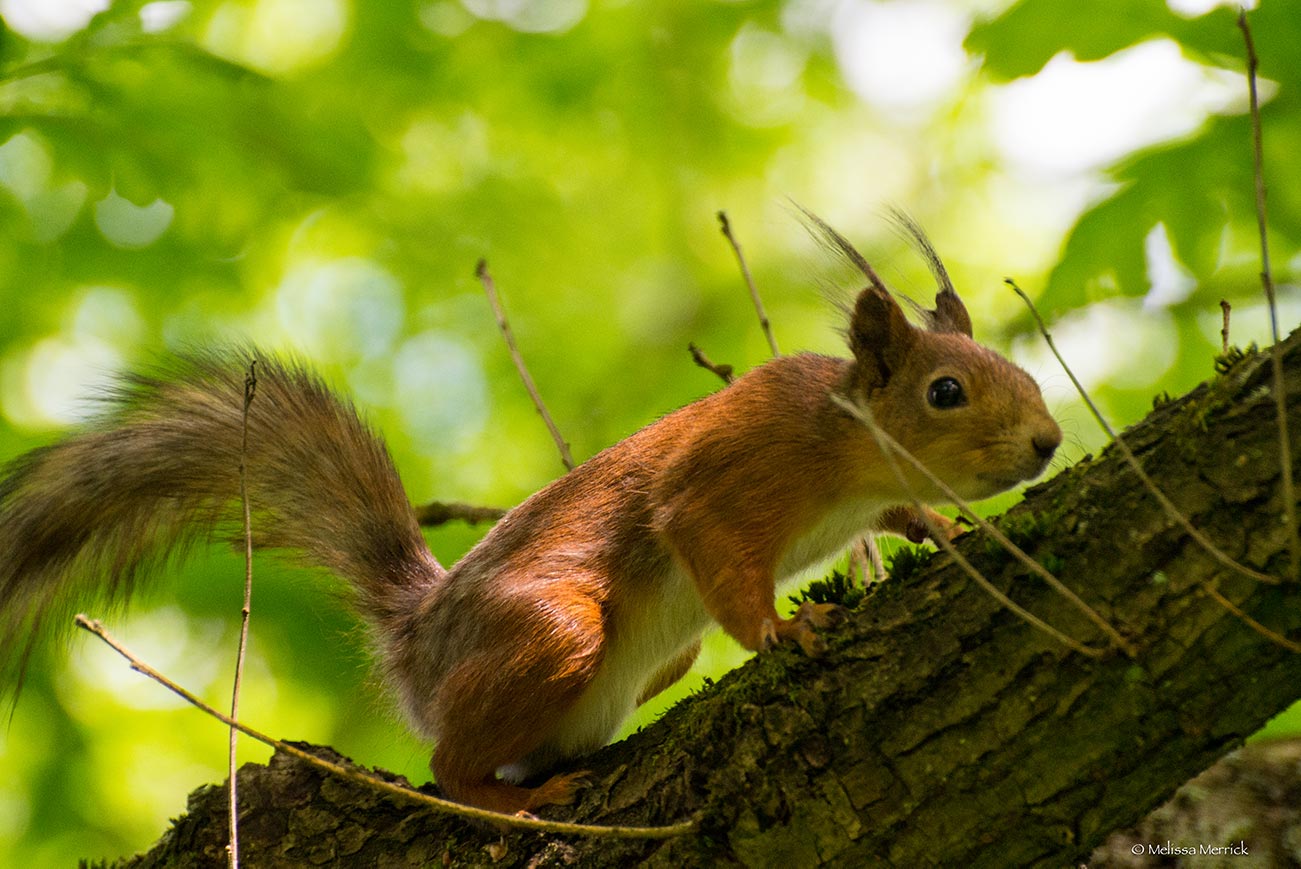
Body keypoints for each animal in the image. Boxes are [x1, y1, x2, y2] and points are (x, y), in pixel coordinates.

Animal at [0, 216, 1061, 815]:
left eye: (1024, 373)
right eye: (945, 392)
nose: (1048, 442)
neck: (839, 445)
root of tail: (417, 645)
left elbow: (909, 514)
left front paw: (953, 532)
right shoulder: (724, 478)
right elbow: (717, 559)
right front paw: (786, 632)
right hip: (552, 631)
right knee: (446, 760)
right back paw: (513, 799)